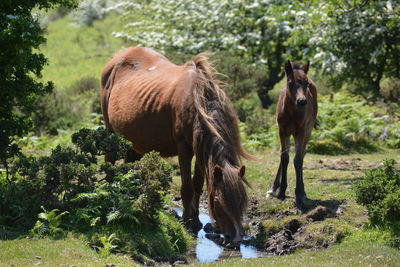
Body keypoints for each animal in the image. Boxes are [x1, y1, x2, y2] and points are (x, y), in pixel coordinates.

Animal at [100, 47, 250, 244]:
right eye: (218, 201)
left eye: (242, 201)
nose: (236, 239)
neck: (197, 102)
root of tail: (119, 56)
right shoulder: (184, 148)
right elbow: (187, 188)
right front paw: (187, 222)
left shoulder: (200, 149)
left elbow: (197, 185)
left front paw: (196, 219)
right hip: (110, 131)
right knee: (109, 160)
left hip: (135, 142)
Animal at [268, 60, 318, 209]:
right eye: (290, 82)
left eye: (306, 83)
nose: (302, 101)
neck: (291, 113)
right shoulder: (282, 131)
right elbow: (284, 158)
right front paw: (281, 192)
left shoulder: (301, 132)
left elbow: (298, 160)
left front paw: (299, 194)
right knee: (284, 153)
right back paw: (273, 188)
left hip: (307, 132)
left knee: (302, 153)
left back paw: (304, 192)